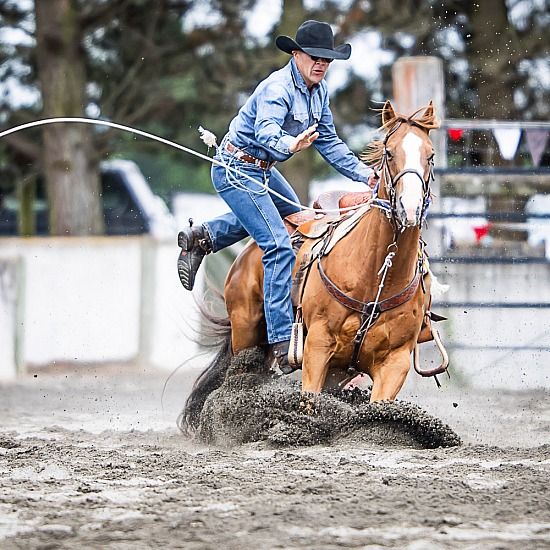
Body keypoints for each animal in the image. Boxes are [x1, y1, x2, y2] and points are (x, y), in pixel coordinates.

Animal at [181, 100, 448, 432]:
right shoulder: (317, 348)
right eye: (389, 152)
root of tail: (248, 254)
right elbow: (309, 405)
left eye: (431, 155)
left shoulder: (394, 362)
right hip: (246, 332)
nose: (408, 209)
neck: (374, 277)